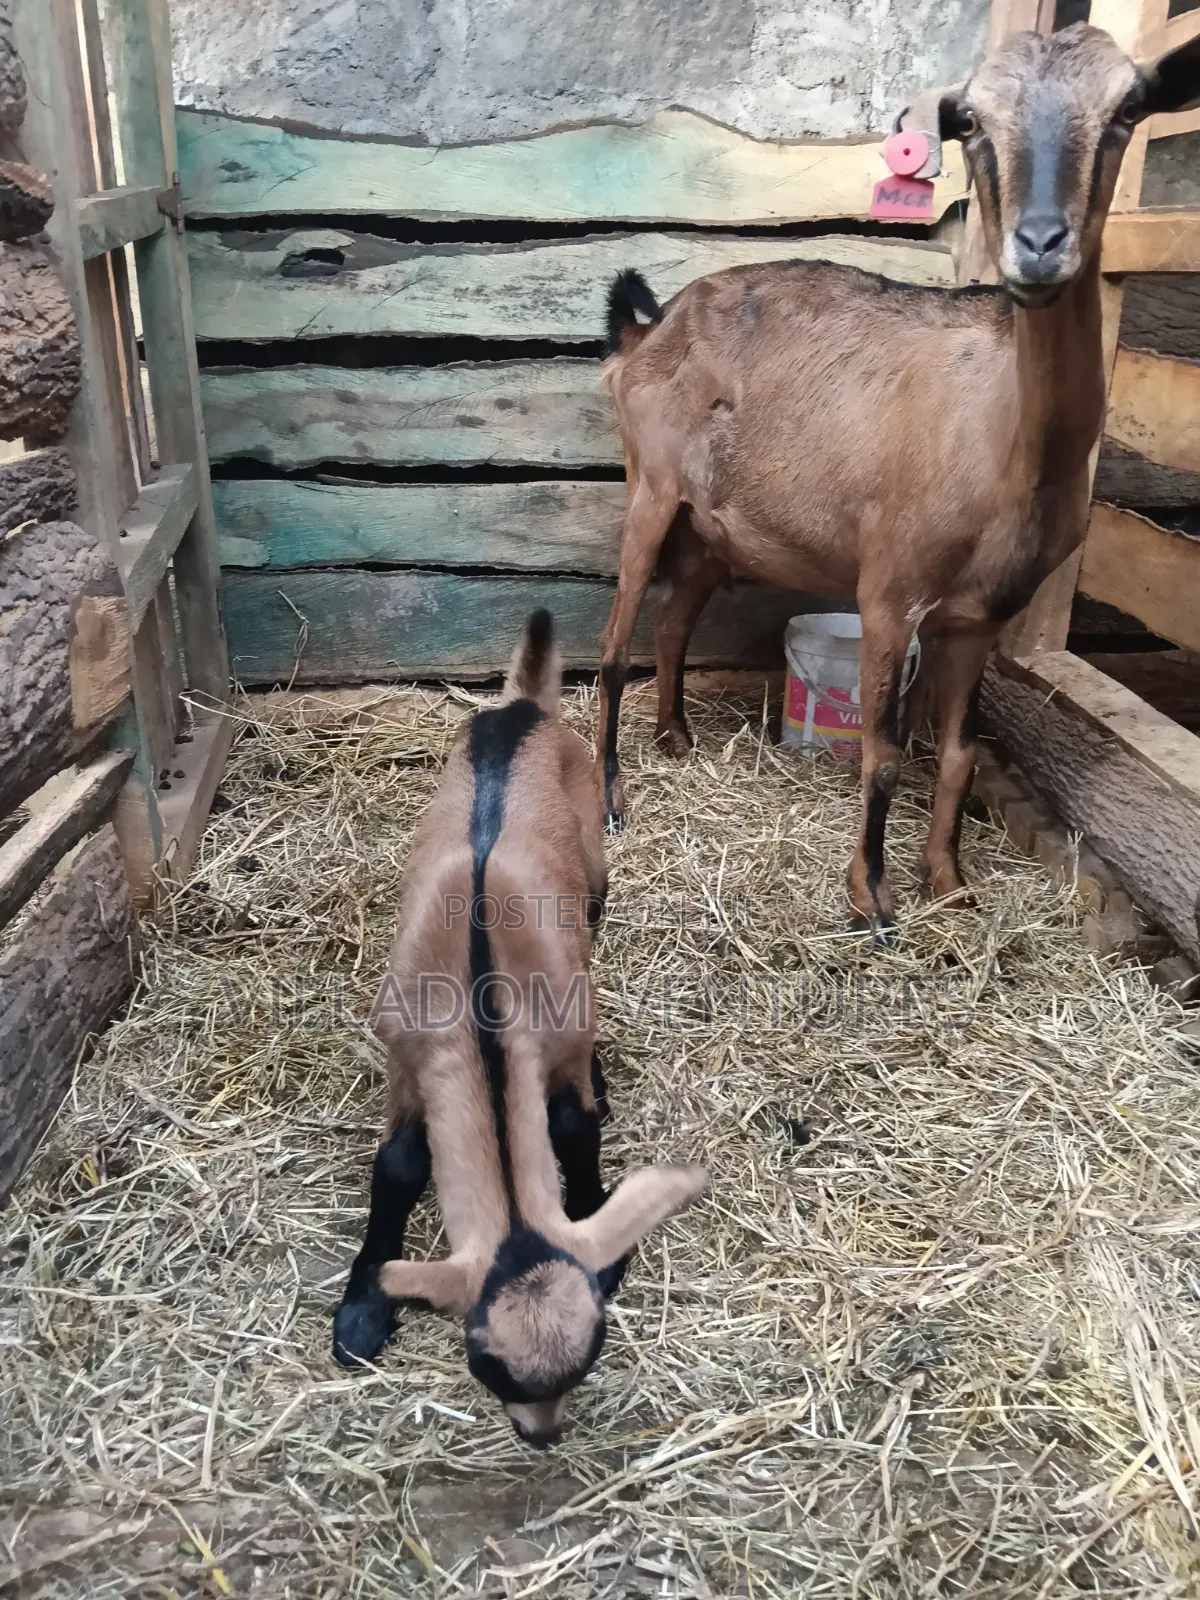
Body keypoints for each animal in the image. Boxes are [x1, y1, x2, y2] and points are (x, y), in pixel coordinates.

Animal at [333, 610, 708, 1447]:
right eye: (485, 1365)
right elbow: (399, 1163)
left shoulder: (558, 1036)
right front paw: (361, 1310)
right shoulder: (405, 1056)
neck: (482, 1000)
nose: (542, 1436)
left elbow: (573, 1125)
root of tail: (523, 708)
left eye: (591, 1355)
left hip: (594, 870)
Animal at [596, 23, 1200, 937]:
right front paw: (871, 899)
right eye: (973, 121)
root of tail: (647, 330)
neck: (1008, 445)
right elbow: (881, 754)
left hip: (707, 525)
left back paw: (675, 738)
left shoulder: (982, 617)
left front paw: (949, 881)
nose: (1039, 243)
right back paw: (611, 798)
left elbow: (956, 754)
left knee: (670, 625)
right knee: (611, 646)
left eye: (1129, 107)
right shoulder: (888, 588)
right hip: (651, 489)